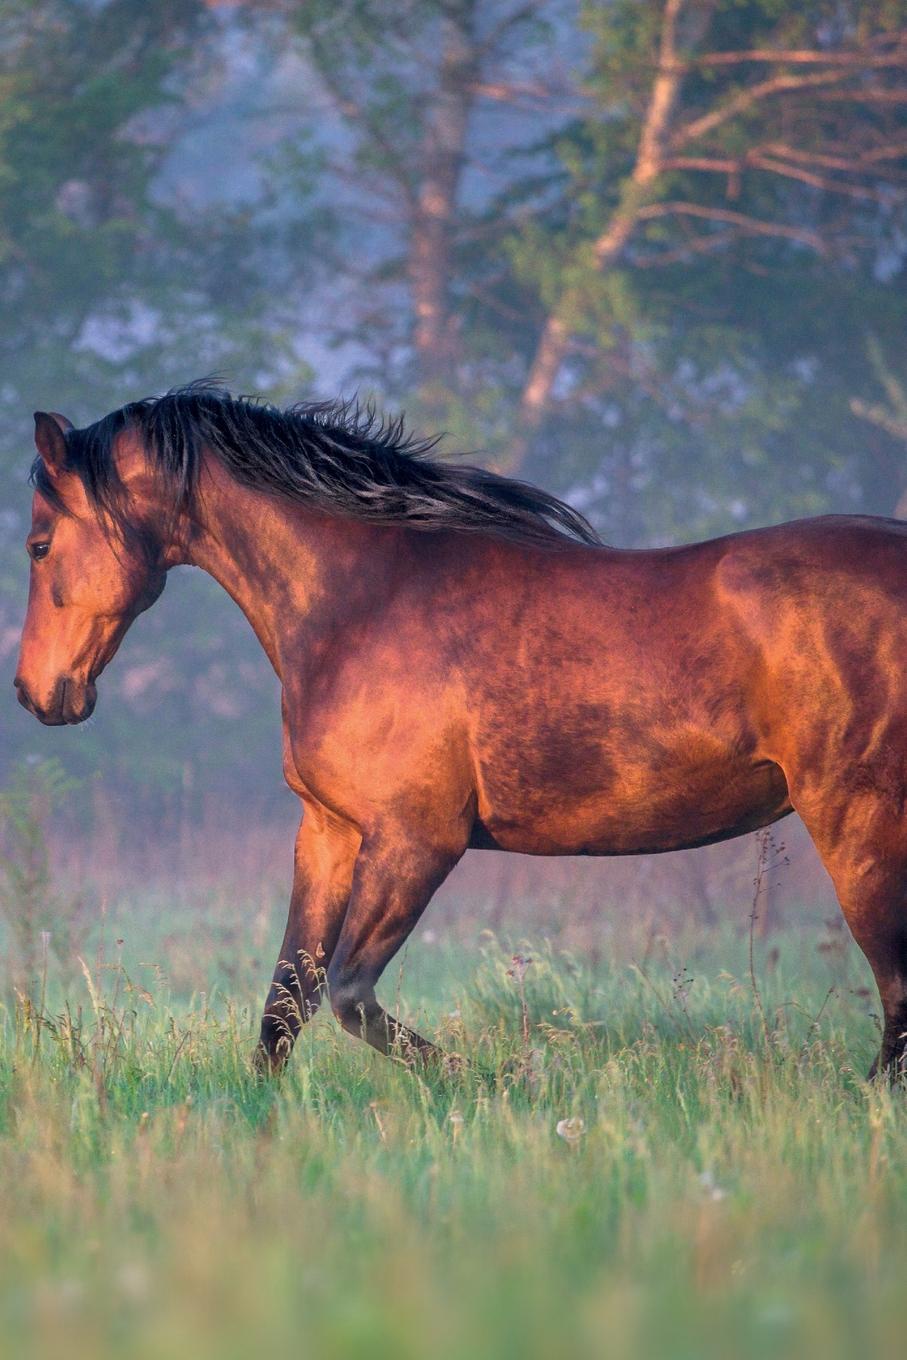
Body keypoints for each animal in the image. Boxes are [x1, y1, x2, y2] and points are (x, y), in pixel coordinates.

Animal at [14, 388, 907, 1077]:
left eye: (37, 543)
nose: (34, 694)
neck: (362, 601)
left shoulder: (417, 839)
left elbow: (349, 994)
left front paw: (503, 1079)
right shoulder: (329, 832)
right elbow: (285, 1004)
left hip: (857, 824)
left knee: (895, 996)